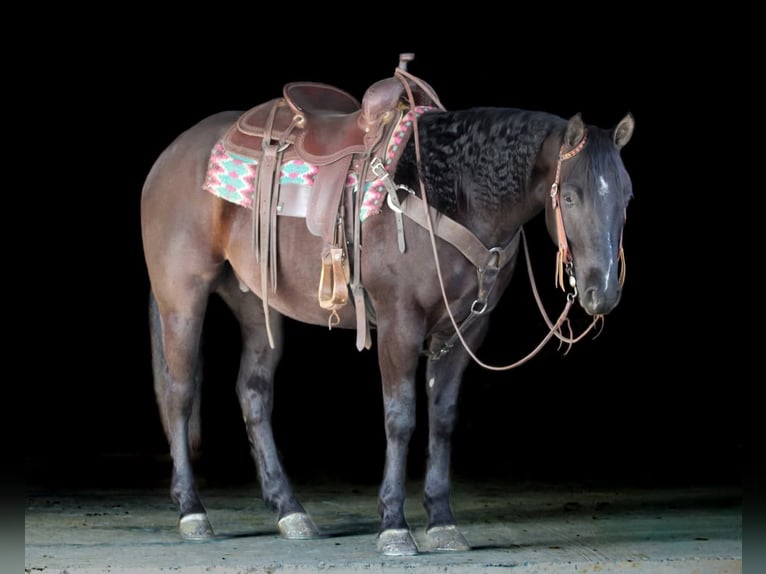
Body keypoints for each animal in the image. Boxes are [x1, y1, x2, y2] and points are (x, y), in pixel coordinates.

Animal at [140, 61, 635, 556]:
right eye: (569, 195)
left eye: (627, 196)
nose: (602, 291)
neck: (447, 193)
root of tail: (170, 156)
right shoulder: (401, 322)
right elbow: (400, 417)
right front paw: (394, 525)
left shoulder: (464, 330)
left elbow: (442, 418)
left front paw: (442, 520)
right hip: (181, 298)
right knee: (180, 393)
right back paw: (192, 511)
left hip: (257, 304)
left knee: (254, 394)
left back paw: (289, 510)